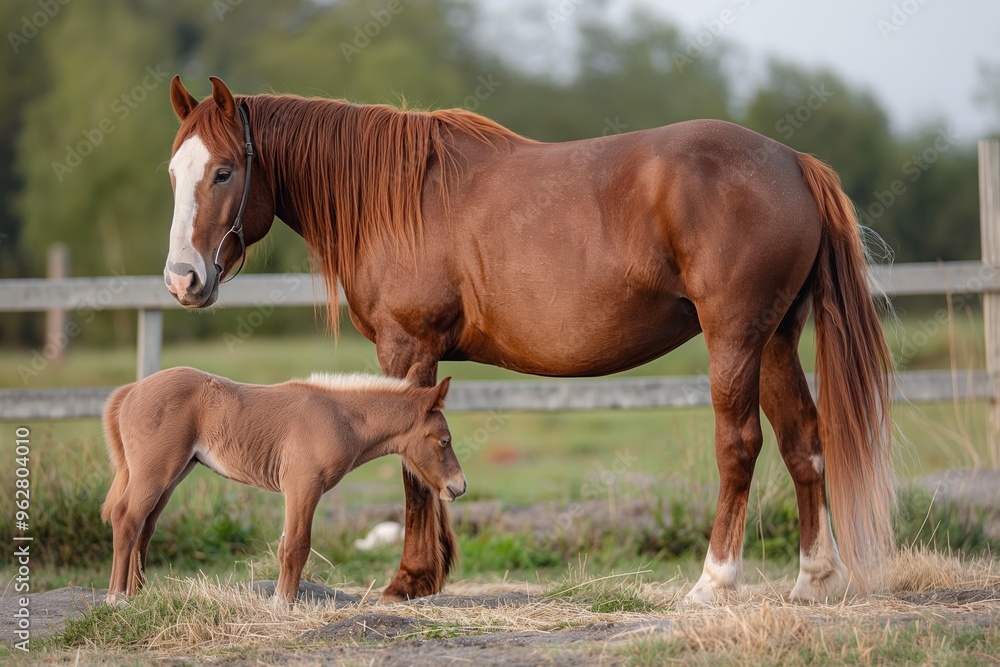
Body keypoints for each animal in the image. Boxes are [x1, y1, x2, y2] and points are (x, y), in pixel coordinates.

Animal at [100, 364, 462, 603]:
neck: (340, 418)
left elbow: (286, 545)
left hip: (173, 476)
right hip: (155, 472)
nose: (459, 487)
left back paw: (139, 595)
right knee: (127, 518)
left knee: (146, 528)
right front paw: (283, 604)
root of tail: (131, 390)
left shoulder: (298, 490)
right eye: (444, 440)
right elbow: (297, 546)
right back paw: (117, 599)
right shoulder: (303, 486)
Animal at [162, 75, 894, 605]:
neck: (394, 197)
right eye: (175, 173)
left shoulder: (407, 348)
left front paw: (410, 580)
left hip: (736, 337)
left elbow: (410, 464)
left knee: (739, 447)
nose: (182, 279)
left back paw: (713, 583)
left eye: (225, 171)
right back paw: (813, 580)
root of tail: (792, 162)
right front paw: (430, 574)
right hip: (775, 339)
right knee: (804, 442)